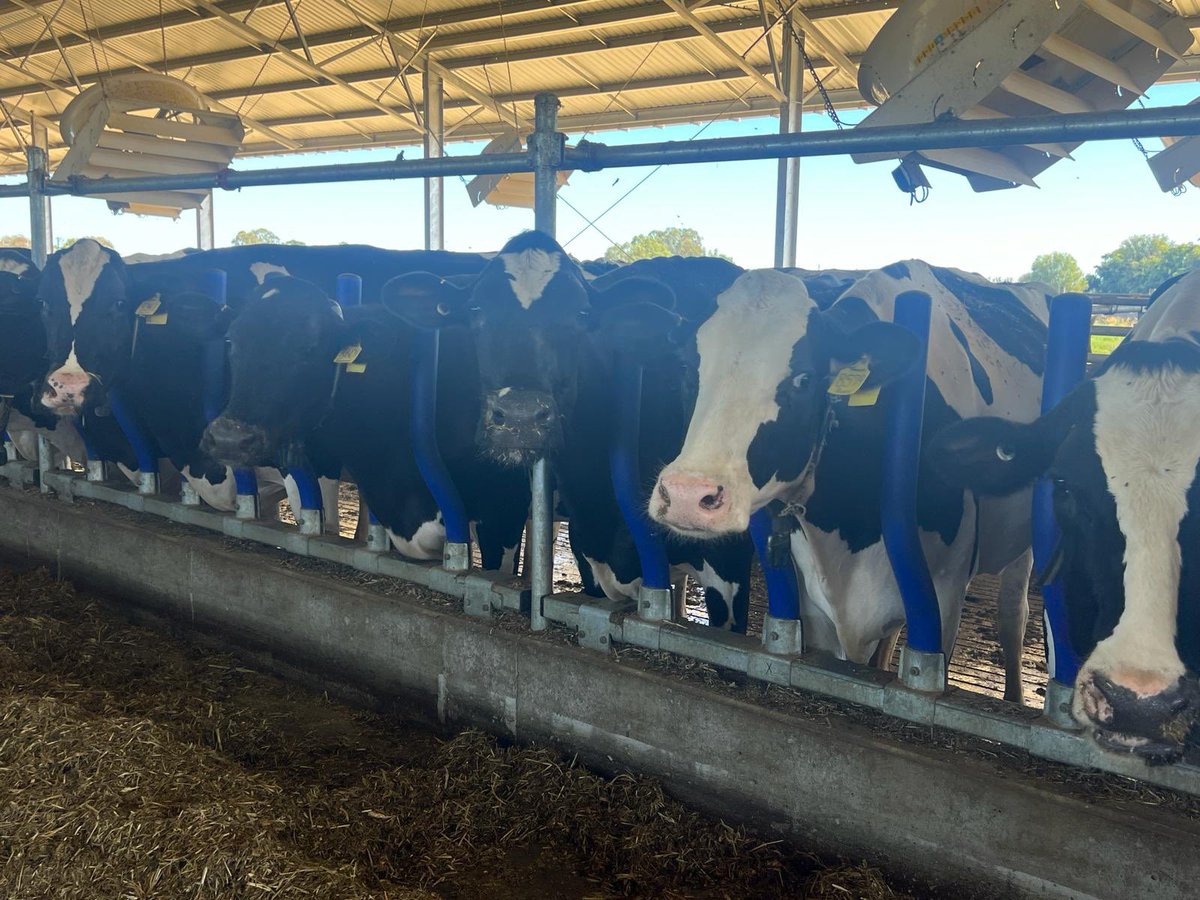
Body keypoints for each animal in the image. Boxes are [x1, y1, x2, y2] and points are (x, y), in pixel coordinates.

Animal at [642, 260, 1051, 700]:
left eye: (804, 380)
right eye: (688, 367)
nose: (687, 495)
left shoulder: (947, 597)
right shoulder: (815, 606)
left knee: (1012, 616)